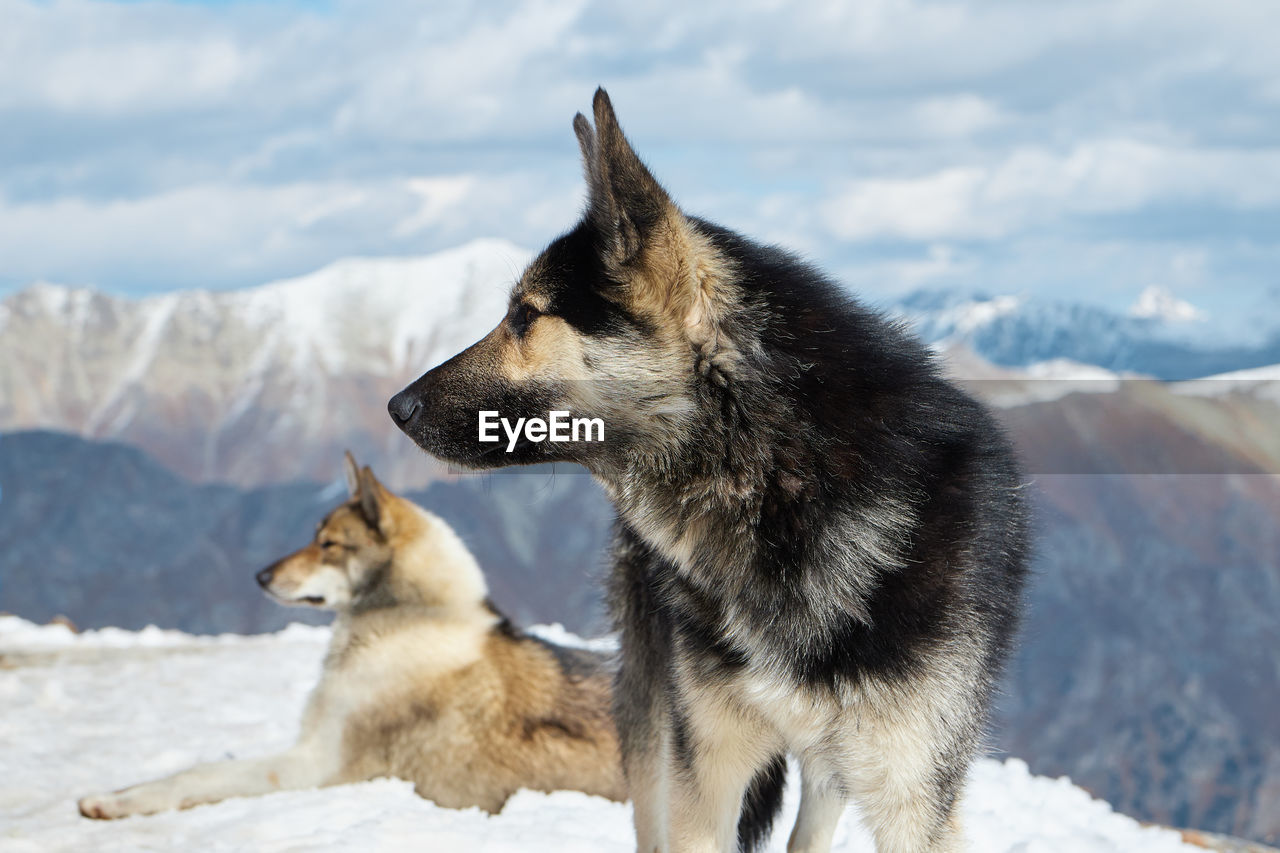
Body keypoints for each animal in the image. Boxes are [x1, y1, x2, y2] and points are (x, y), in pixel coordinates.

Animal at [74, 450, 624, 819]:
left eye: (328, 544)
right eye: (314, 538)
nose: (260, 577)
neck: (407, 618)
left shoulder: (314, 764)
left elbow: (200, 773)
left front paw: (114, 803)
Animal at [386, 89, 1029, 845]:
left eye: (525, 316)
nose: (397, 406)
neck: (783, 483)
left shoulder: (914, 799)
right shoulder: (707, 772)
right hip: (655, 718)